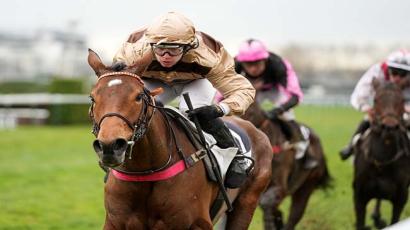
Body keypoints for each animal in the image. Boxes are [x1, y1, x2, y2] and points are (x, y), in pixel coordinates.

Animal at [86, 49, 272, 229]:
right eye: (92, 98)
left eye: (138, 96)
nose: (110, 146)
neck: (146, 172)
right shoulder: (114, 222)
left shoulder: (197, 223)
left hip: (246, 204)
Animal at [240, 101, 330, 230]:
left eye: (251, 113)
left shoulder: (281, 186)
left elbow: (266, 202)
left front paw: (270, 223)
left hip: (307, 185)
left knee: (295, 215)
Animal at [352, 79, 410, 230]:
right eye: (376, 99)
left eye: (402, 100)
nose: (389, 127)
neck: (382, 161)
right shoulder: (359, 195)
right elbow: (360, 222)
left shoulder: (400, 198)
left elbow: (395, 220)